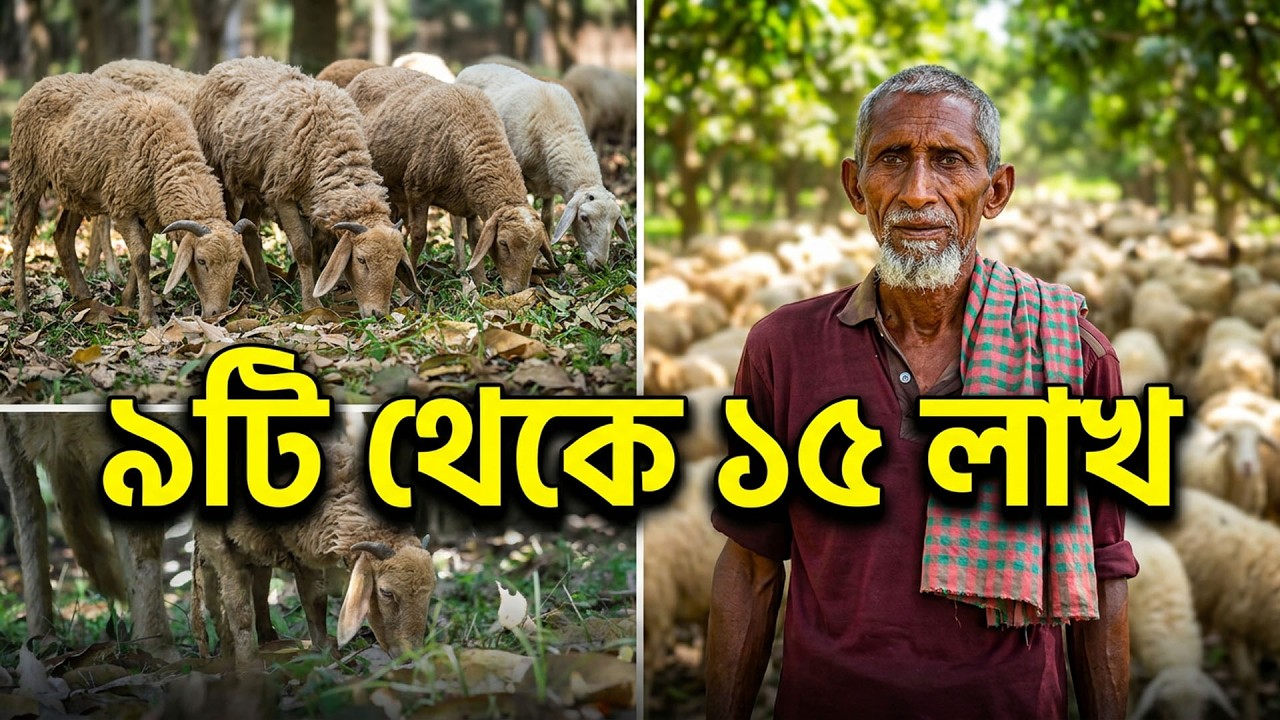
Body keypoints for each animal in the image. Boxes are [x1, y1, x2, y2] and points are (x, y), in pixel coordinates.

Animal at [9, 73, 257, 326]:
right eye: (201, 261)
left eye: (237, 263)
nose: (219, 315)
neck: (170, 154)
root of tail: (43, 82)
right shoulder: (123, 207)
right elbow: (140, 258)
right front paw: (148, 317)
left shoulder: (147, 211)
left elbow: (142, 254)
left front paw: (127, 303)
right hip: (27, 171)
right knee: (20, 237)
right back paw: (22, 307)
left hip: (77, 187)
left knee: (62, 235)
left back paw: (83, 297)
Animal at [191, 57, 420, 316]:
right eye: (361, 260)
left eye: (396, 263)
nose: (378, 314)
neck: (334, 144)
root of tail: (232, 62)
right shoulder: (283, 194)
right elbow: (303, 250)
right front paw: (311, 304)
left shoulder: (315, 200)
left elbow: (319, 245)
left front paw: (321, 292)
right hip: (222, 172)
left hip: (256, 185)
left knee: (250, 233)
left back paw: (266, 291)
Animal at [193, 412, 437, 667]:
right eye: (386, 592)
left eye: (430, 593)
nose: (411, 657)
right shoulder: (226, 551)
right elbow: (239, 613)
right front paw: (248, 667)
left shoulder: (303, 553)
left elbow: (315, 601)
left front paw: (325, 653)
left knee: (260, 591)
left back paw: (269, 641)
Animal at [348, 69, 551, 294]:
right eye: (504, 243)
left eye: (537, 248)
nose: (518, 290)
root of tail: (368, 71)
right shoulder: (417, 190)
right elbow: (419, 236)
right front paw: (409, 287)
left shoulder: (470, 203)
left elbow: (475, 238)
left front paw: (482, 283)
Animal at [455, 63, 630, 271]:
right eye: (584, 218)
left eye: (614, 222)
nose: (600, 265)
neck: (560, 129)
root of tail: (473, 66)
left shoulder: (549, 186)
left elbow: (546, 220)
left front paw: (543, 260)